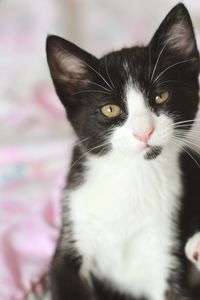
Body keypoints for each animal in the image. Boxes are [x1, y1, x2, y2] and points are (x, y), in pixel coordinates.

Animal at [45, 2, 200, 300]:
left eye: (161, 96)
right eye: (110, 109)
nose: (144, 132)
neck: (132, 177)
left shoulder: (167, 243)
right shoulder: (73, 232)